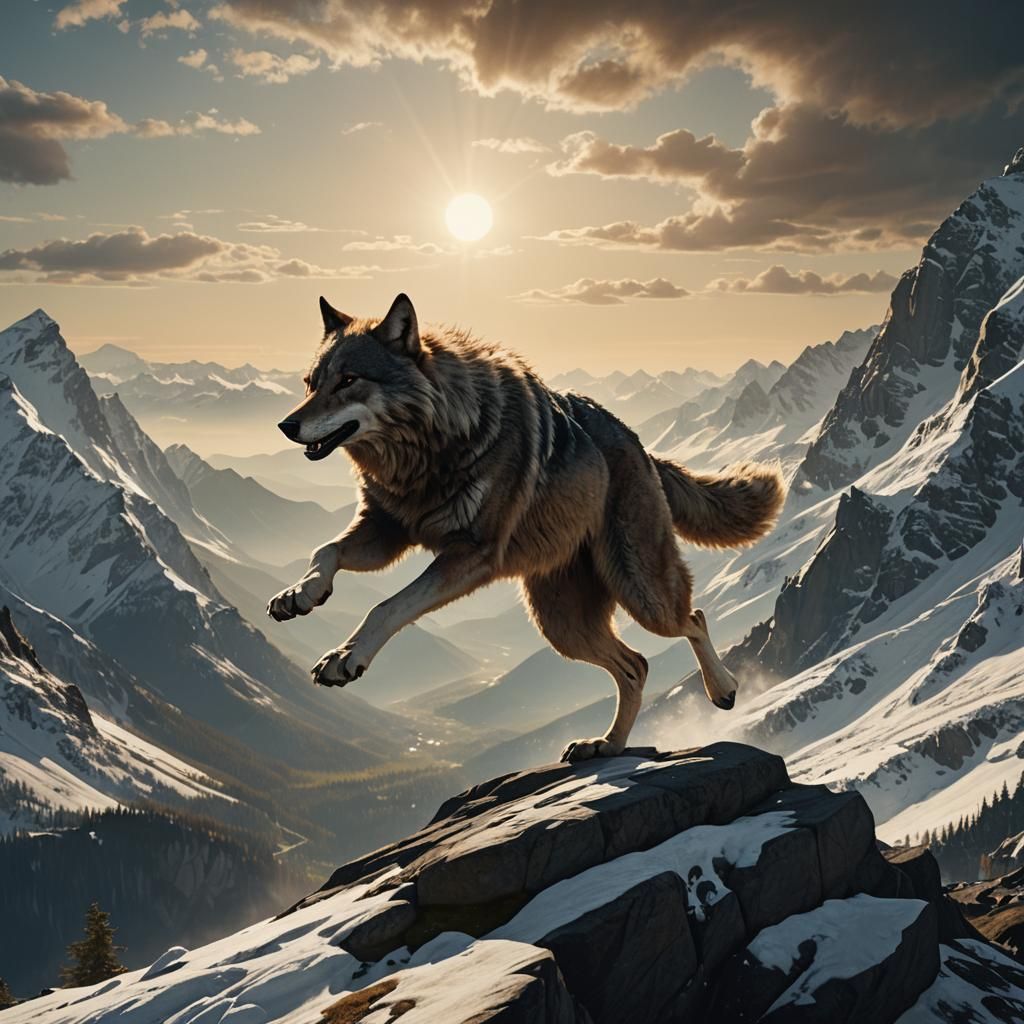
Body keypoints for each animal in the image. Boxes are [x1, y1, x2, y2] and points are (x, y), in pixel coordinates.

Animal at [269, 293, 785, 762]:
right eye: (310, 383)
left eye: (348, 381)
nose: (286, 425)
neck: (428, 451)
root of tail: (641, 445)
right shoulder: (387, 531)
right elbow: (325, 551)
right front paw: (300, 595)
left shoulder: (470, 553)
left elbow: (386, 606)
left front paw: (345, 657)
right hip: (560, 624)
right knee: (636, 665)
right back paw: (607, 745)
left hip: (641, 594)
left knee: (693, 619)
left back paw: (723, 689)